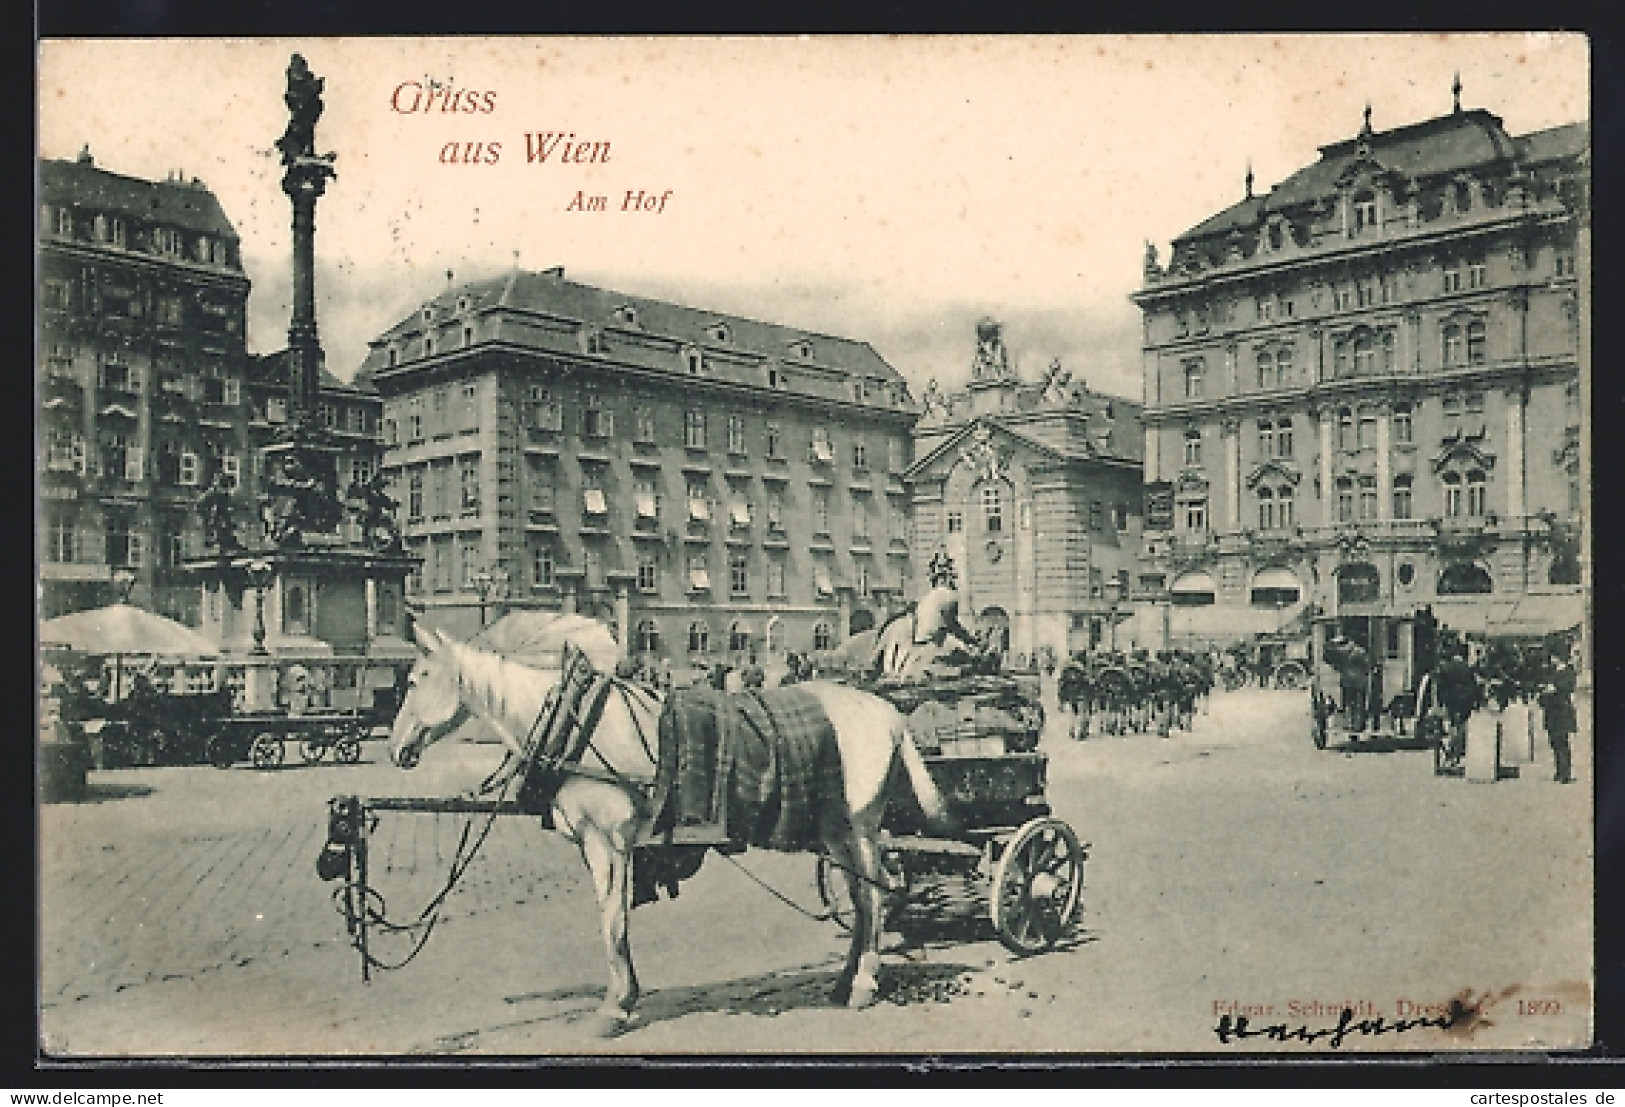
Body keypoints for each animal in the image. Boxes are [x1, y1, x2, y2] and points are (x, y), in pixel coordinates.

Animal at [391, 627, 949, 1033]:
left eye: (416, 679)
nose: (397, 749)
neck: (574, 725)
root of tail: (889, 713)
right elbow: (615, 918)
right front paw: (626, 995)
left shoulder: (608, 842)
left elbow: (612, 919)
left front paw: (615, 1006)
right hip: (835, 828)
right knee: (859, 899)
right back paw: (843, 981)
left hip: (860, 825)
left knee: (874, 898)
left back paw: (864, 983)